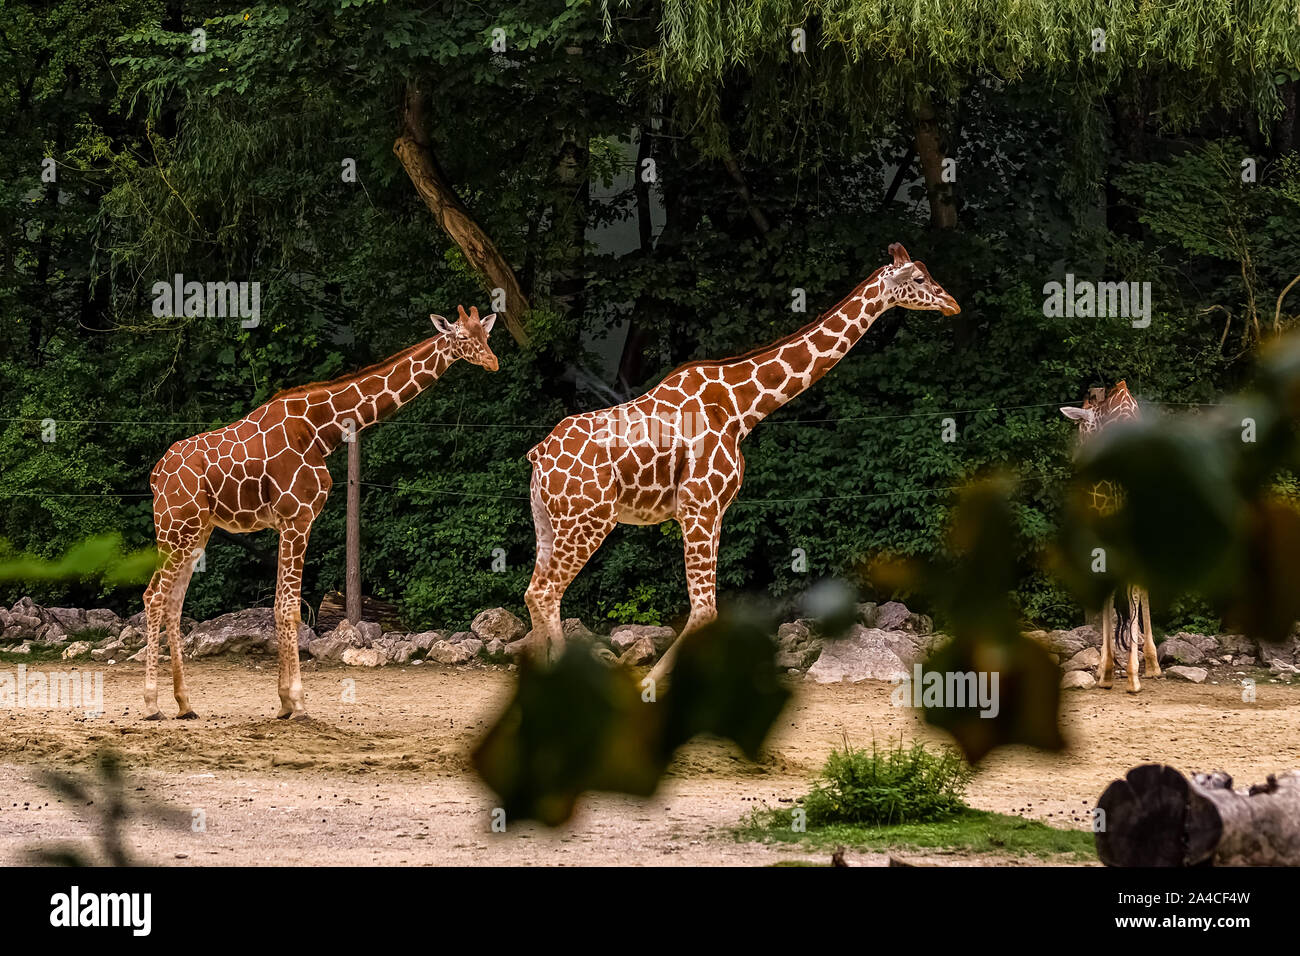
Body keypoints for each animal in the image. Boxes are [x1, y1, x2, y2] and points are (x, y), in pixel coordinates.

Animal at [141, 305, 499, 719]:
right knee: (154, 596)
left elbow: (281, 606)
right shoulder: (297, 517)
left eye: (487, 335)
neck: (321, 431)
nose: (493, 362)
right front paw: (297, 702)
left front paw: (283, 703)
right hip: (175, 527)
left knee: (172, 602)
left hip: (196, 531)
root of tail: (156, 474)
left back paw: (185, 704)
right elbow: (288, 608)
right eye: (461, 337)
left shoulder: (290, 522)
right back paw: (151, 704)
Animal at [523, 243, 960, 682]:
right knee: (547, 590)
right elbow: (704, 609)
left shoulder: (715, 512)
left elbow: (710, 610)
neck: (740, 409)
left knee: (533, 589)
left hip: (549, 521)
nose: (952, 303)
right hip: (589, 520)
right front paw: (651, 681)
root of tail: (539, 454)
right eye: (919, 278)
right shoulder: (698, 507)